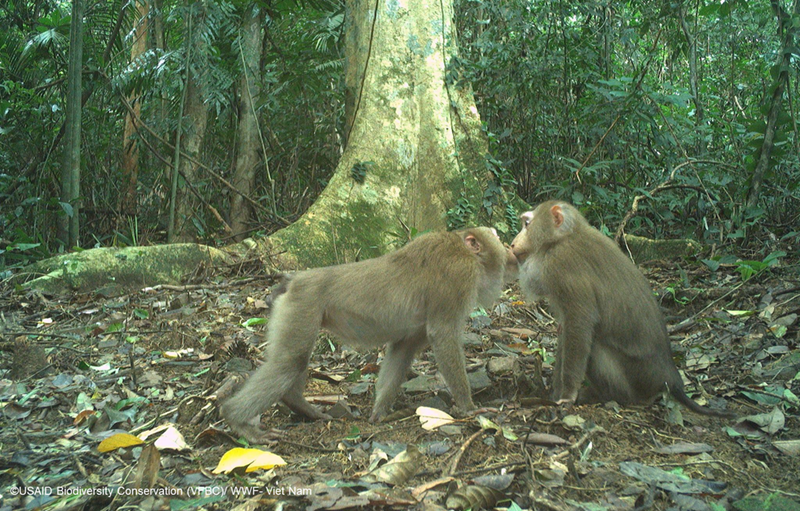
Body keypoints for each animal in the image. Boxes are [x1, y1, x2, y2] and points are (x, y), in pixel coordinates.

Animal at [220, 226, 520, 442]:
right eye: (494, 234)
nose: (510, 246)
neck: (465, 252)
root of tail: (294, 280)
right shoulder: (459, 278)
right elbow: (442, 335)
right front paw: (469, 408)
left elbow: (403, 349)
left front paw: (379, 413)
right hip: (303, 304)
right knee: (290, 362)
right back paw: (237, 420)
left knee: (292, 359)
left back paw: (300, 406)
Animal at [516, 202, 736, 418]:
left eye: (526, 224)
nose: (513, 241)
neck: (565, 237)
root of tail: (671, 379)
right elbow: (566, 330)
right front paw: (555, 393)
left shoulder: (561, 265)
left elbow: (579, 325)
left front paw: (568, 394)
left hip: (637, 379)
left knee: (595, 344)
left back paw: (608, 396)